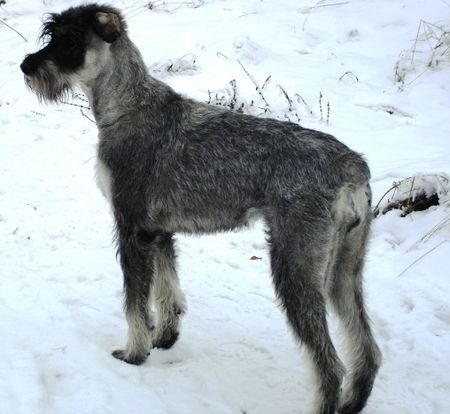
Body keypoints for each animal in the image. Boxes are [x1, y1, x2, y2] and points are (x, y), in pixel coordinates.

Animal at [20, 4, 380, 414]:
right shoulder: (157, 231)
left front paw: (134, 352)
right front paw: (165, 337)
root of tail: (352, 167)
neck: (127, 105)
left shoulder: (130, 228)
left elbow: (135, 301)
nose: (26, 66)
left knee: (330, 366)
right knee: (367, 349)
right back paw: (354, 402)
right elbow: (167, 288)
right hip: (344, 270)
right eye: (51, 35)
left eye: (70, 40)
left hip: (296, 267)